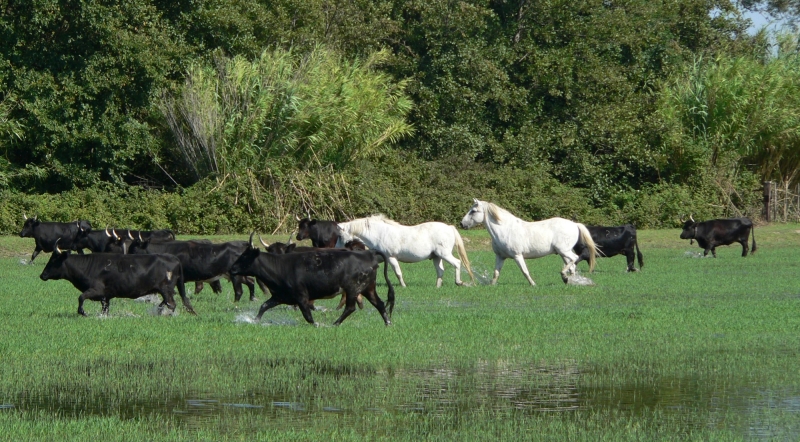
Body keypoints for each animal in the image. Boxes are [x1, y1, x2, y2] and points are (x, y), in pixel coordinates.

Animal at [39, 240, 197, 316]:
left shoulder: (96, 290)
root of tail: (173, 258)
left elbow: (81, 297)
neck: (88, 266)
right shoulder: (105, 296)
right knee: (166, 302)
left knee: (172, 303)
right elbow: (104, 309)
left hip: (166, 289)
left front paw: (83, 312)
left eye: (54, 260)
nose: (42, 275)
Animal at [126, 240, 260, 302]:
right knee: (251, 281)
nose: (126, 258)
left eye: (133, 249)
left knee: (239, 291)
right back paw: (252, 299)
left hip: (235, 276)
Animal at [230, 235, 396, 324]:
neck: (281, 267)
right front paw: (255, 320)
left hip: (353, 289)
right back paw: (388, 323)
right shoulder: (279, 296)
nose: (232, 268)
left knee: (350, 308)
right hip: (368, 288)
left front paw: (317, 324)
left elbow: (308, 315)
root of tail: (368, 254)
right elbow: (264, 306)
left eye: (245, 256)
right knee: (379, 304)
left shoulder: (302, 297)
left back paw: (335, 323)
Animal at [334, 215, 472, 290]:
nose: (336, 249)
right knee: (440, 271)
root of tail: (449, 227)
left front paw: (403, 286)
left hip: (444, 254)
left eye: (340, 236)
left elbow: (398, 273)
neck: (379, 234)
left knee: (457, 263)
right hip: (436, 257)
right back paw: (437, 287)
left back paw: (459, 282)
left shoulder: (391, 257)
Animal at [462, 200, 592, 286]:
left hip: (564, 250)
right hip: (562, 253)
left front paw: (533, 284)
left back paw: (566, 277)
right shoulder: (500, 256)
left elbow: (524, 271)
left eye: (473, 211)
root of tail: (574, 224)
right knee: (572, 265)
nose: (462, 224)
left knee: (575, 258)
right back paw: (569, 280)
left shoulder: (517, 255)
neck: (505, 230)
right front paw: (491, 285)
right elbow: (496, 273)